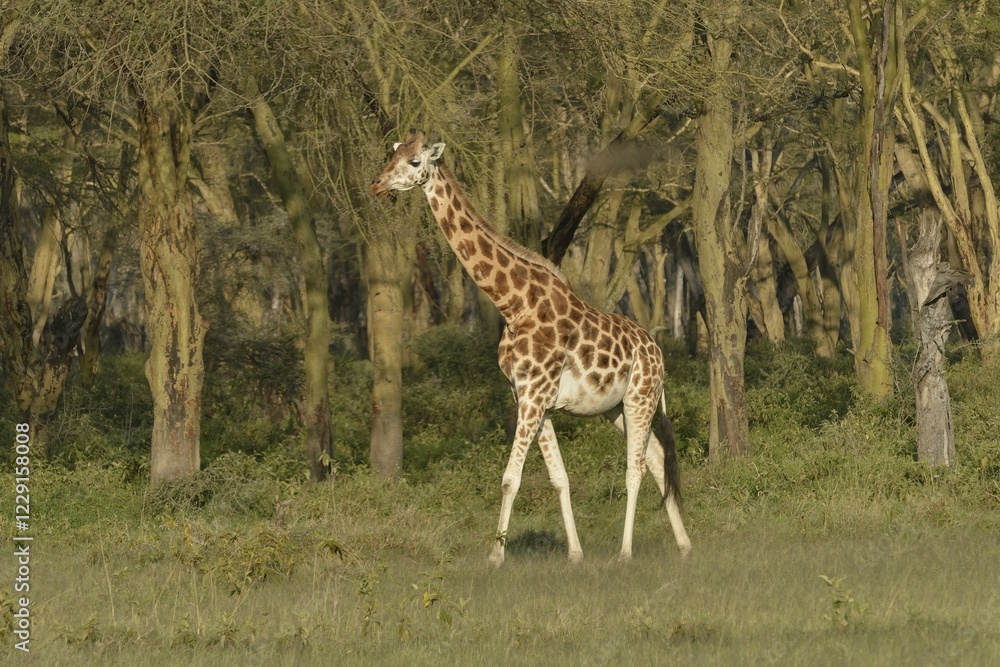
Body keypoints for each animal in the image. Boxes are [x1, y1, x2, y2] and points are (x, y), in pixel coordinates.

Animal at [370, 130, 691, 566]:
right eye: (392, 155)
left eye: (415, 162)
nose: (377, 185)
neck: (513, 304)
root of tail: (659, 354)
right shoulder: (527, 396)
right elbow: (559, 478)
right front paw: (575, 553)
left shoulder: (534, 395)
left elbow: (510, 478)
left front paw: (495, 556)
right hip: (614, 408)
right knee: (657, 457)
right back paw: (684, 544)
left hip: (640, 398)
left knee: (635, 468)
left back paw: (625, 553)